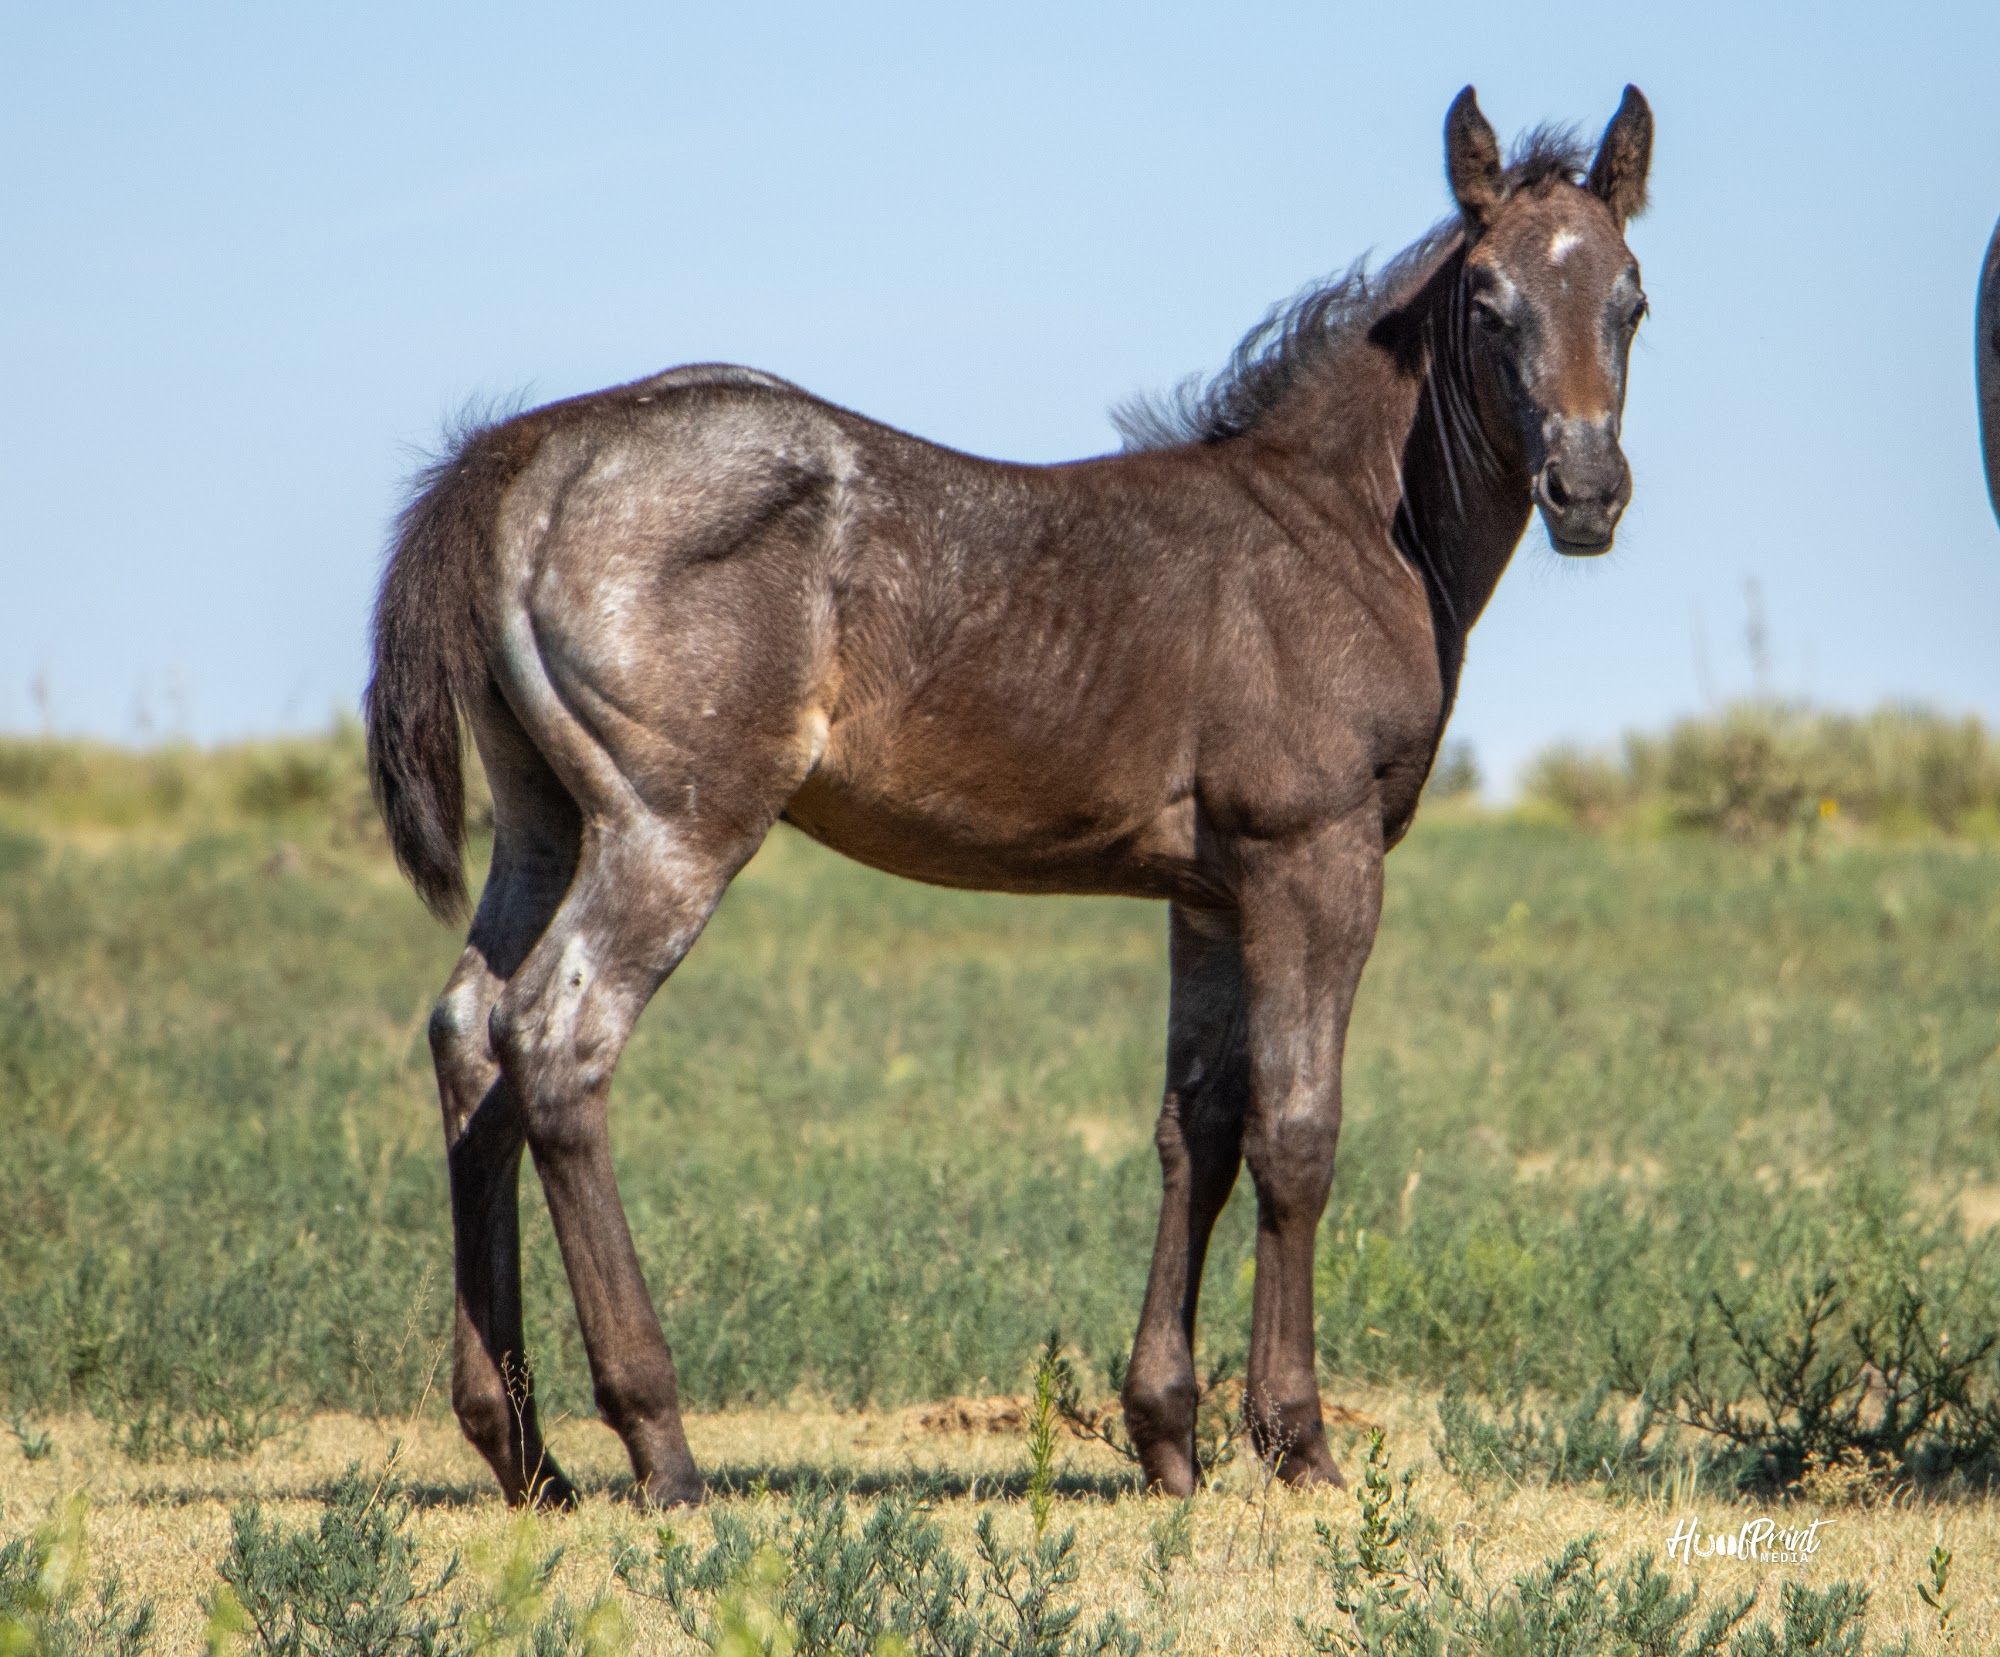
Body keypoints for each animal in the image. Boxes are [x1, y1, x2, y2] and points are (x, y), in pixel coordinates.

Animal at [365, 85, 1654, 1507]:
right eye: (1486, 302)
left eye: (1631, 297)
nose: (1586, 493)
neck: (1339, 529)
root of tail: (527, 452)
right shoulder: (1313, 860)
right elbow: (1296, 1132)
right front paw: (1294, 1439)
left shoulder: (1208, 893)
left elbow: (1195, 1128)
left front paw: (1167, 1438)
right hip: (673, 825)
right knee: (554, 1042)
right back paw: (661, 1444)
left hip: (546, 824)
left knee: (467, 1033)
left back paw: (522, 1447)